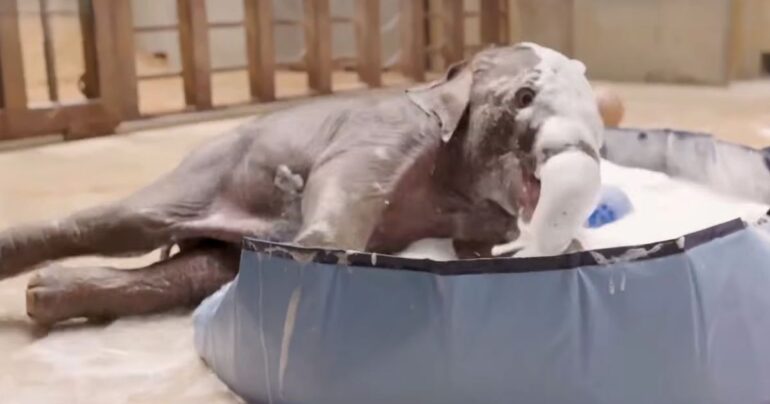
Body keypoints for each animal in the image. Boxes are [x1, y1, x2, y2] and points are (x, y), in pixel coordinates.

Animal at [0, 42, 603, 325]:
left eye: (597, 119)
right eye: (524, 97)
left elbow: (475, 252)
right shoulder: (388, 131)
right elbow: (347, 182)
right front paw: (319, 257)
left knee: (190, 274)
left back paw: (45, 294)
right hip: (205, 172)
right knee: (122, 222)